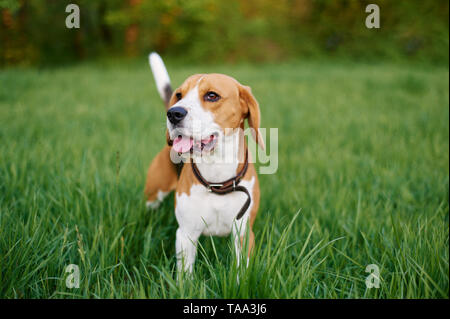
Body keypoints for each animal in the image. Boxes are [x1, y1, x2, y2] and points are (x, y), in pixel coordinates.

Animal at [144, 53, 264, 276]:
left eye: (212, 96)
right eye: (179, 95)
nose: (173, 113)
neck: (217, 177)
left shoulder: (243, 233)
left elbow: (241, 273)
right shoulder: (186, 234)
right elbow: (185, 276)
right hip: (154, 194)